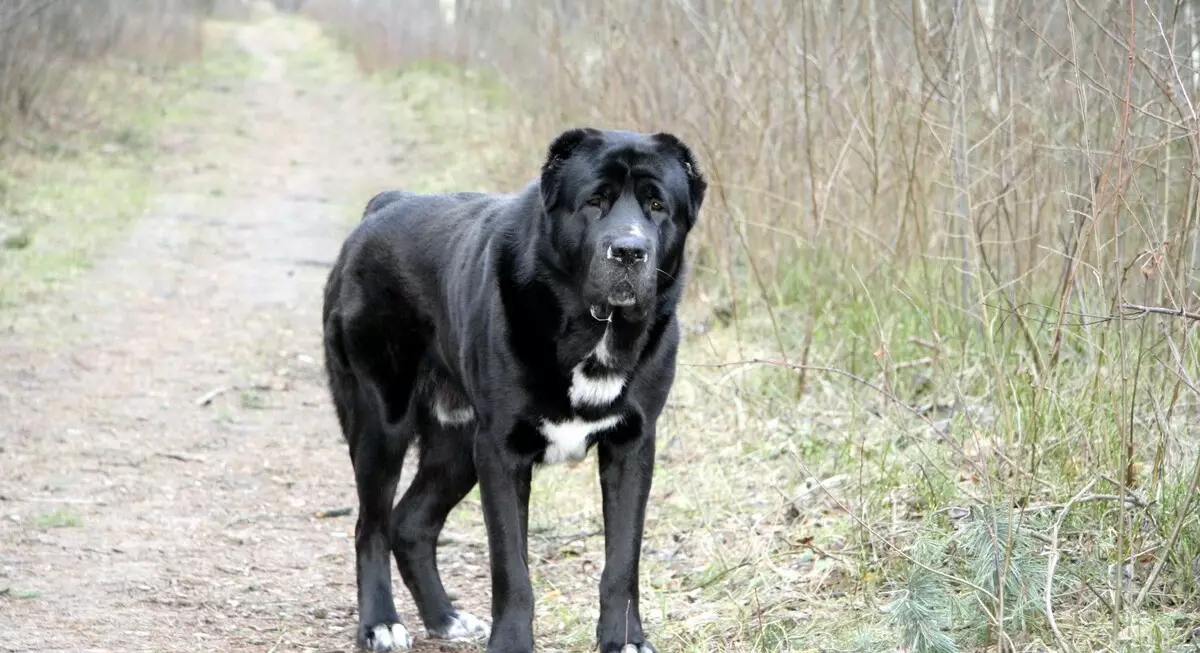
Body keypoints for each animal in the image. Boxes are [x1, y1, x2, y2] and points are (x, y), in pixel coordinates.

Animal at [324, 127, 705, 653]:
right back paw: (381, 623)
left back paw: (446, 618)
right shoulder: (501, 453)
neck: (592, 330)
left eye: (656, 205)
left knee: (410, 523)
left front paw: (624, 640)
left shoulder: (632, 447)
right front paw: (511, 643)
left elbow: (623, 561)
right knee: (371, 527)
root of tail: (384, 205)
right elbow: (511, 568)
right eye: (595, 201)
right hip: (383, 421)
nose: (629, 251)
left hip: (458, 444)